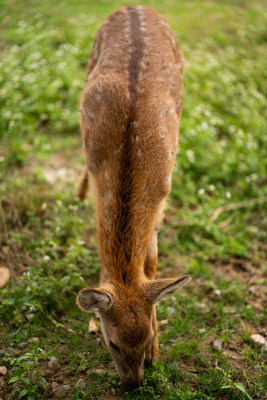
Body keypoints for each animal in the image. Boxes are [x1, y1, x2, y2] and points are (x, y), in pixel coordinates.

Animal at [76, 5, 192, 388]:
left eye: (147, 337)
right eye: (111, 342)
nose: (134, 383)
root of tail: (134, 6)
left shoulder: (163, 195)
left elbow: (151, 264)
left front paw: (157, 354)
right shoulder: (97, 170)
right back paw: (77, 191)